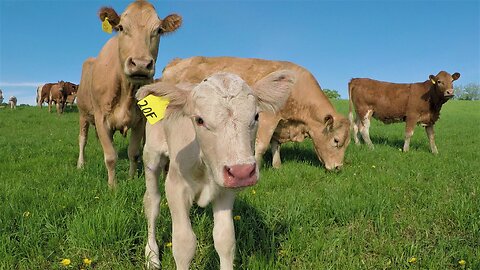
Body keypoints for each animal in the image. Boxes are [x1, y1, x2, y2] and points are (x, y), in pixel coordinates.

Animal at [76, 0, 183, 189]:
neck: (126, 90)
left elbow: (133, 152)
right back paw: (81, 164)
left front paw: (131, 179)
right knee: (83, 140)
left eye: (158, 30)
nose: (140, 64)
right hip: (83, 113)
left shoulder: (140, 120)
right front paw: (113, 186)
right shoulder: (100, 117)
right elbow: (110, 156)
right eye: (121, 27)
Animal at [136, 70, 296, 270]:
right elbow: (184, 244)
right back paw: (151, 255)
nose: (242, 171)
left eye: (256, 116)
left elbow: (225, 239)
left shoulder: (226, 190)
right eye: (199, 120)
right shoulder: (176, 187)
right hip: (151, 155)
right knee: (152, 202)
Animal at [159, 56, 350, 171]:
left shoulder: (280, 124)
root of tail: (176, 61)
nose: (338, 167)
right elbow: (262, 145)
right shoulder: (268, 118)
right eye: (336, 141)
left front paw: (277, 165)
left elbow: (275, 145)